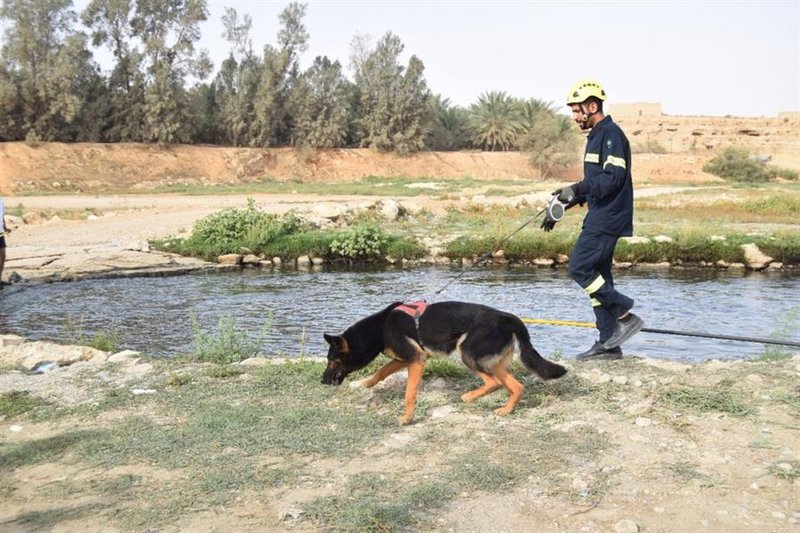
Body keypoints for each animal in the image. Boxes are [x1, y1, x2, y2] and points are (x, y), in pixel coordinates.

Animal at [322, 300, 564, 424]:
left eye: (332, 360)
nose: (322, 381)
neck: (380, 326)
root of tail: (508, 317)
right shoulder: (408, 358)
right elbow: (382, 371)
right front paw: (366, 384)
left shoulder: (417, 359)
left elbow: (409, 393)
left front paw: (407, 418)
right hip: (494, 363)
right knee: (516, 386)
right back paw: (506, 411)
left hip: (468, 354)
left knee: (493, 383)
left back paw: (469, 397)